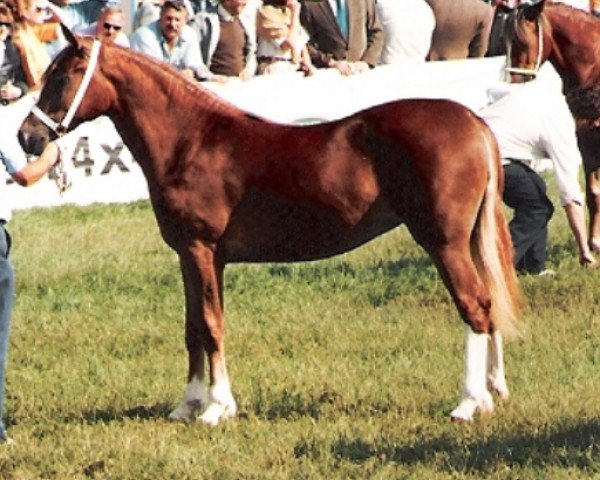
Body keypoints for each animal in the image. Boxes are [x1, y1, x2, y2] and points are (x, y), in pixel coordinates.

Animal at [18, 28, 520, 424]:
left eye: (62, 76)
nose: (27, 136)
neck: (190, 141)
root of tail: (472, 122)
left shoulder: (200, 249)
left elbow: (211, 325)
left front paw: (217, 408)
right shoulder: (195, 256)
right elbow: (193, 327)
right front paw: (188, 404)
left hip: (444, 243)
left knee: (475, 307)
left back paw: (468, 403)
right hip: (467, 242)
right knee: (490, 303)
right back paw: (494, 391)